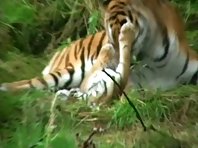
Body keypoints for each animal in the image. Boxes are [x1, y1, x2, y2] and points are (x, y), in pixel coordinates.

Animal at [0, 0, 197, 99]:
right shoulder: (127, 85)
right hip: (69, 72)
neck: (157, 58)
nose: (112, 63)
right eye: (110, 34)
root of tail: (60, 50)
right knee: (30, 83)